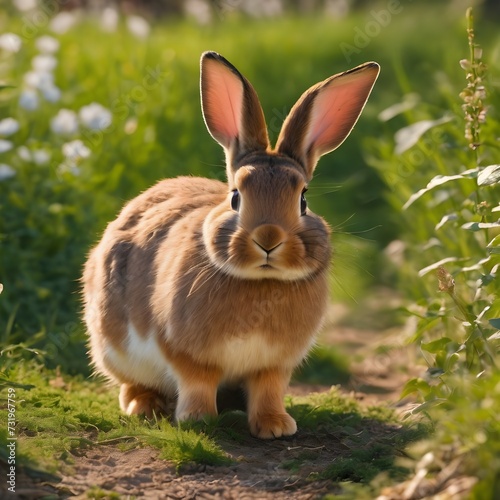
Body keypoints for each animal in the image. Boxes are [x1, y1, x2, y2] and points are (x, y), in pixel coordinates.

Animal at [83, 48, 378, 436]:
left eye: (303, 200)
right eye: (236, 197)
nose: (268, 238)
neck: (261, 281)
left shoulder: (274, 365)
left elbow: (268, 389)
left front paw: (276, 426)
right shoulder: (185, 352)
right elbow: (198, 381)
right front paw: (198, 419)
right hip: (111, 346)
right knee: (131, 383)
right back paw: (145, 406)